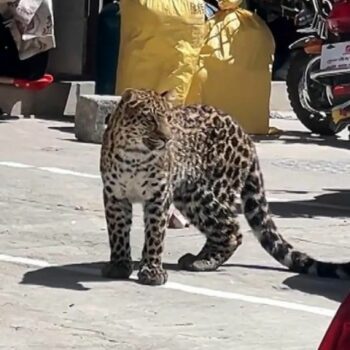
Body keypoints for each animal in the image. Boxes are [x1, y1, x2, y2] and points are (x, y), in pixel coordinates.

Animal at [99, 87, 350, 284]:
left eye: (168, 119)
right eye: (150, 119)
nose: (167, 139)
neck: (134, 155)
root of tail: (245, 134)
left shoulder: (159, 195)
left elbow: (155, 234)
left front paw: (152, 271)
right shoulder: (114, 195)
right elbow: (118, 232)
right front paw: (120, 265)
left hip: (204, 193)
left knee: (232, 230)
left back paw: (203, 262)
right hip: (189, 196)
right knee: (222, 229)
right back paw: (198, 259)